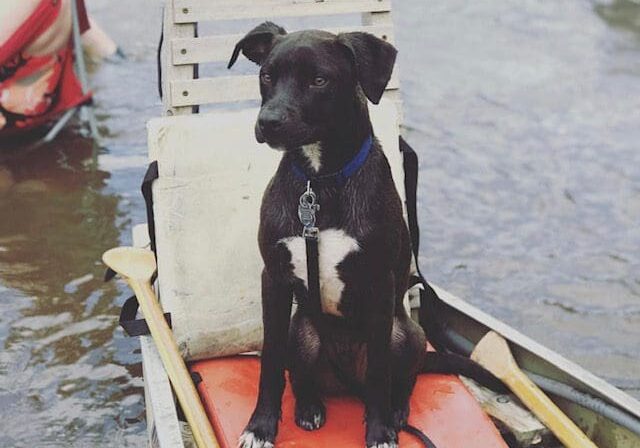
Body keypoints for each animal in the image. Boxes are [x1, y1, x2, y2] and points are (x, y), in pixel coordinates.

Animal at [228, 23, 502, 448]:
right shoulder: (273, 278)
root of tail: (343, 382)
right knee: (303, 378)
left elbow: (378, 373)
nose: (268, 121)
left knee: (398, 379)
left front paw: (380, 431)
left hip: (407, 335)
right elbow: (270, 362)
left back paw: (396, 411)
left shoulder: (378, 284)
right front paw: (261, 427)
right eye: (267, 76)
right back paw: (309, 407)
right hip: (301, 333)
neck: (320, 181)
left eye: (319, 80)